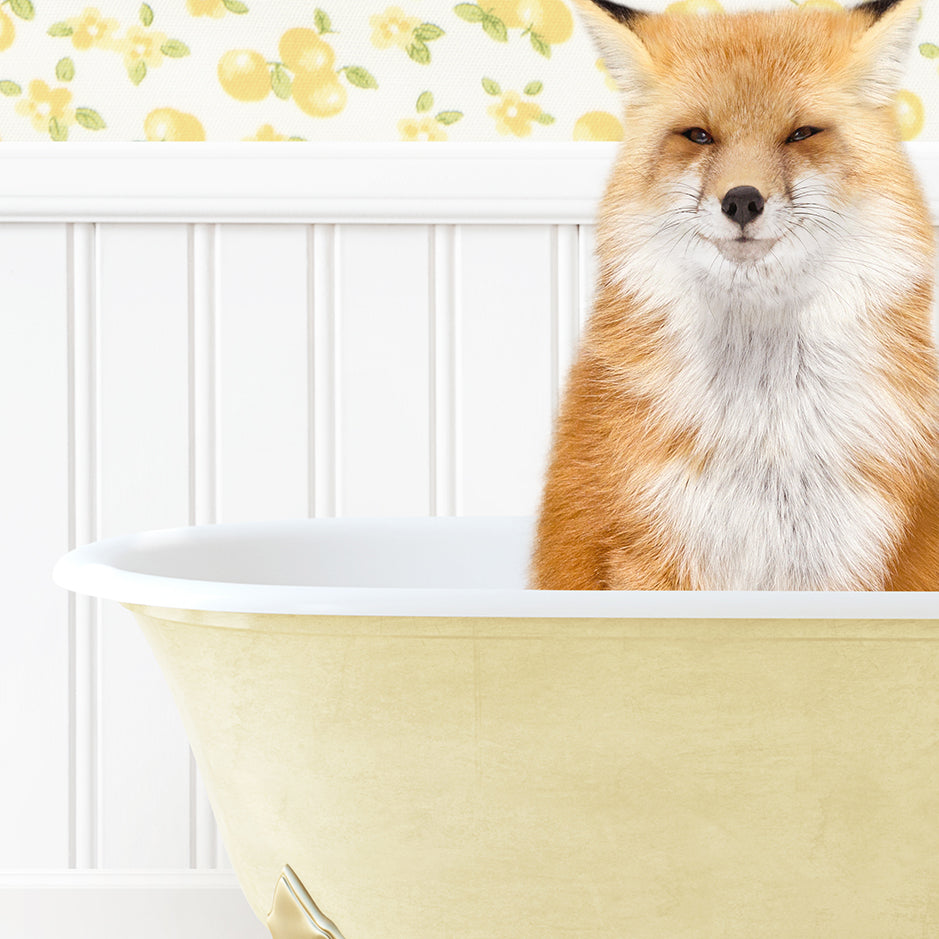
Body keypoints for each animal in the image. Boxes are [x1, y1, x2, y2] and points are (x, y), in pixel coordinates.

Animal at [532, 0, 939, 592]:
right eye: (699, 136)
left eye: (801, 134)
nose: (742, 200)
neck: (764, 439)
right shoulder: (651, 550)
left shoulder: (847, 560)